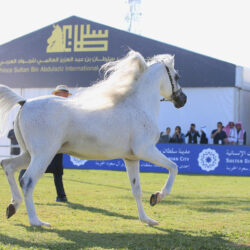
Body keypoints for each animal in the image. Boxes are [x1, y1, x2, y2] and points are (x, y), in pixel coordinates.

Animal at [0, 50, 186, 227]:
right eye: (176, 76)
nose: (182, 99)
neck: (138, 106)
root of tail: (25, 101)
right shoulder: (146, 150)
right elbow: (174, 167)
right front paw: (157, 197)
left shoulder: (131, 158)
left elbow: (136, 190)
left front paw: (147, 219)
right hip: (43, 155)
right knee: (27, 181)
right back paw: (36, 221)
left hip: (30, 154)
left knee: (8, 166)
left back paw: (12, 207)